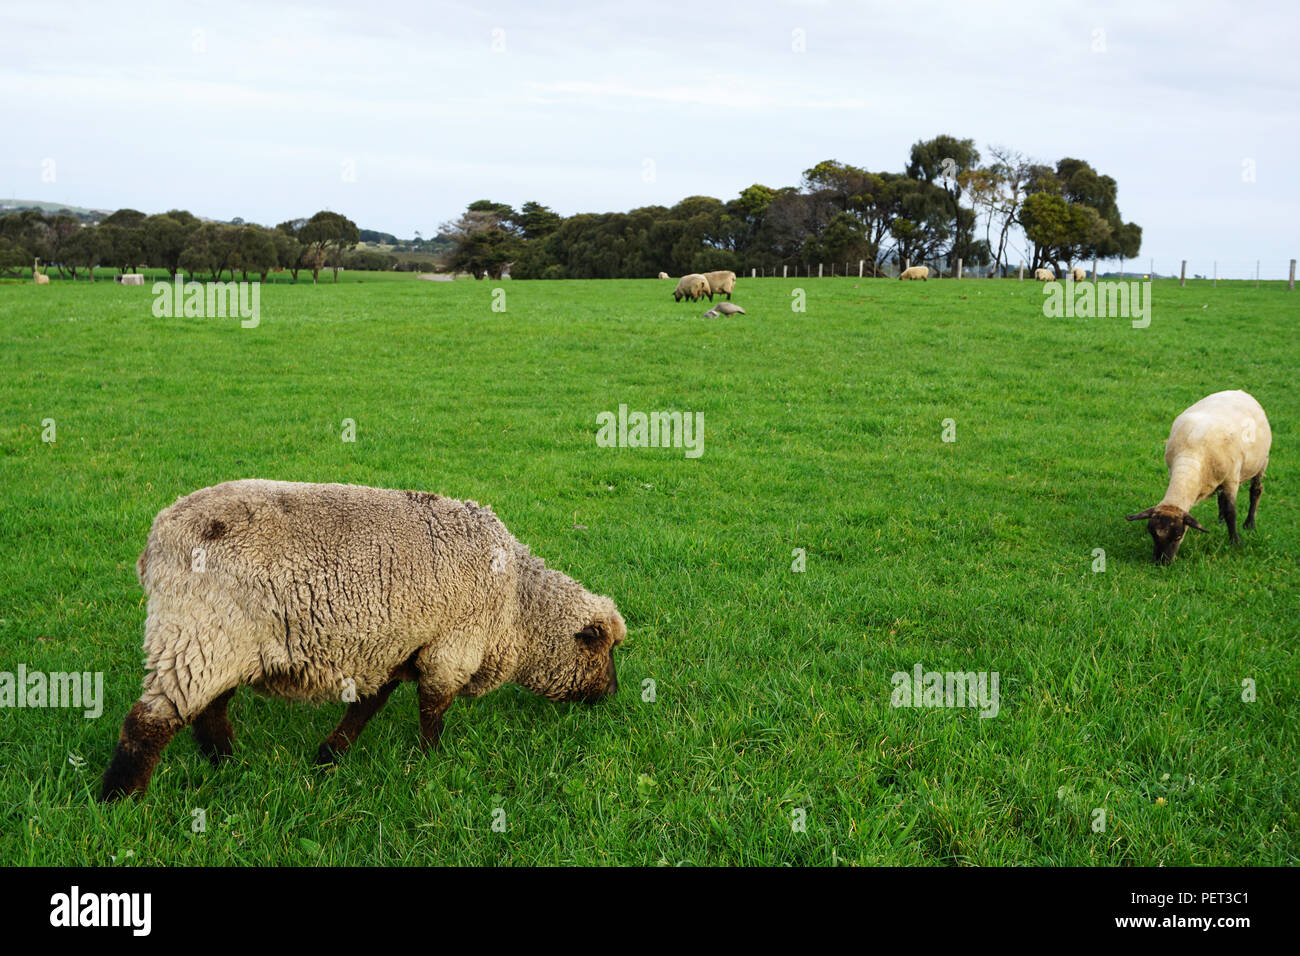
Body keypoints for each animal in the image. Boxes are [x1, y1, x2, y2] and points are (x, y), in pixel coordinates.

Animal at [99, 479, 627, 800]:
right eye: (603, 650)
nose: (613, 695)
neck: (517, 604)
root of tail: (158, 536)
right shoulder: (450, 650)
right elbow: (433, 710)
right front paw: (430, 762)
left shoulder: (395, 648)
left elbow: (368, 706)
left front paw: (329, 756)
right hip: (197, 633)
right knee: (149, 722)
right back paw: (120, 799)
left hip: (221, 644)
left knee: (208, 710)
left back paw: (226, 764)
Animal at [1125, 390, 1271, 564]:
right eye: (1152, 533)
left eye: (1179, 536)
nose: (1161, 563)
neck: (1192, 453)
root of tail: (1240, 392)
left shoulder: (1231, 479)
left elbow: (1231, 512)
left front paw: (1235, 542)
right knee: (1221, 498)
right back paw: (1220, 521)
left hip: (1262, 462)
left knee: (1256, 491)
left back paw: (1250, 524)